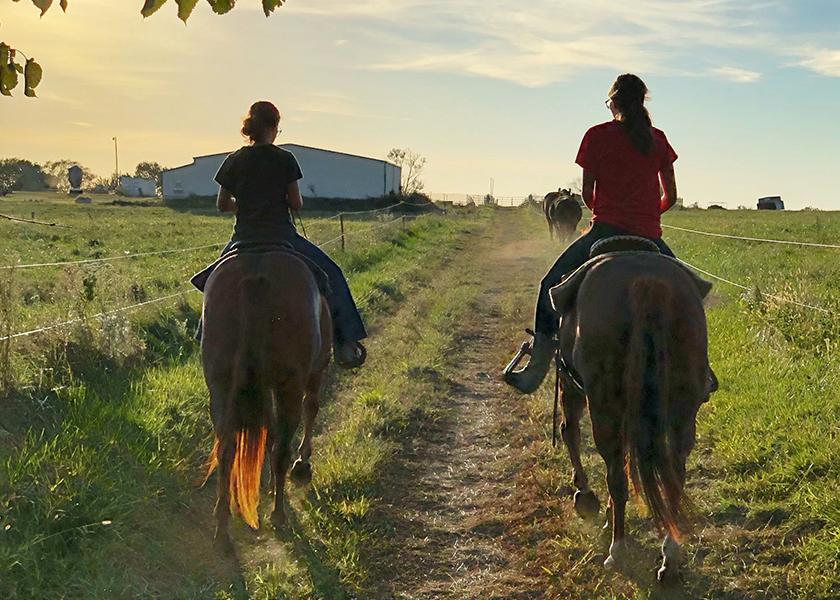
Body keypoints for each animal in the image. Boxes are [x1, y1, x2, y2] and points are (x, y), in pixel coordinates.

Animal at [203, 251, 332, 552]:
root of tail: (255, 277)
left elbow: (270, 431)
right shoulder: (314, 372)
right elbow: (311, 409)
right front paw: (302, 466)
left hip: (221, 387)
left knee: (226, 451)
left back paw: (222, 528)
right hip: (290, 385)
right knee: (282, 447)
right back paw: (279, 513)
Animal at [556, 252, 712, 580]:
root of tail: (647, 282)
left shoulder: (571, 386)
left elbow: (570, 433)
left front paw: (586, 499)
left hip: (602, 404)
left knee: (614, 472)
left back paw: (617, 549)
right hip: (682, 409)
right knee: (675, 473)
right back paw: (670, 556)